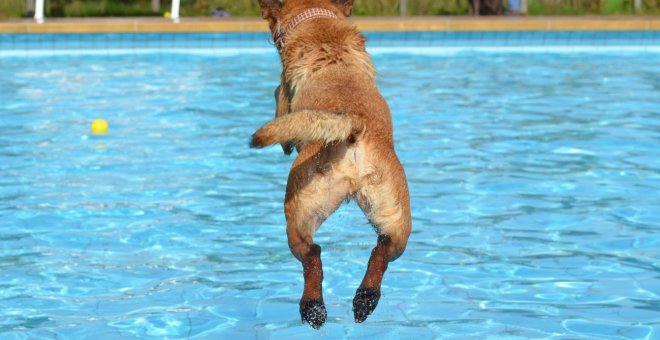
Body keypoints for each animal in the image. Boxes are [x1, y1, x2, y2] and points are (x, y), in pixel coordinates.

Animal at [250, 0, 410, 330]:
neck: (318, 22)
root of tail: (353, 126)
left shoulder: (282, 97)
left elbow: (278, 98)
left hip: (298, 211)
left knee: (312, 255)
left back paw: (313, 308)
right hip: (396, 217)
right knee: (382, 249)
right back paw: (364, 300)